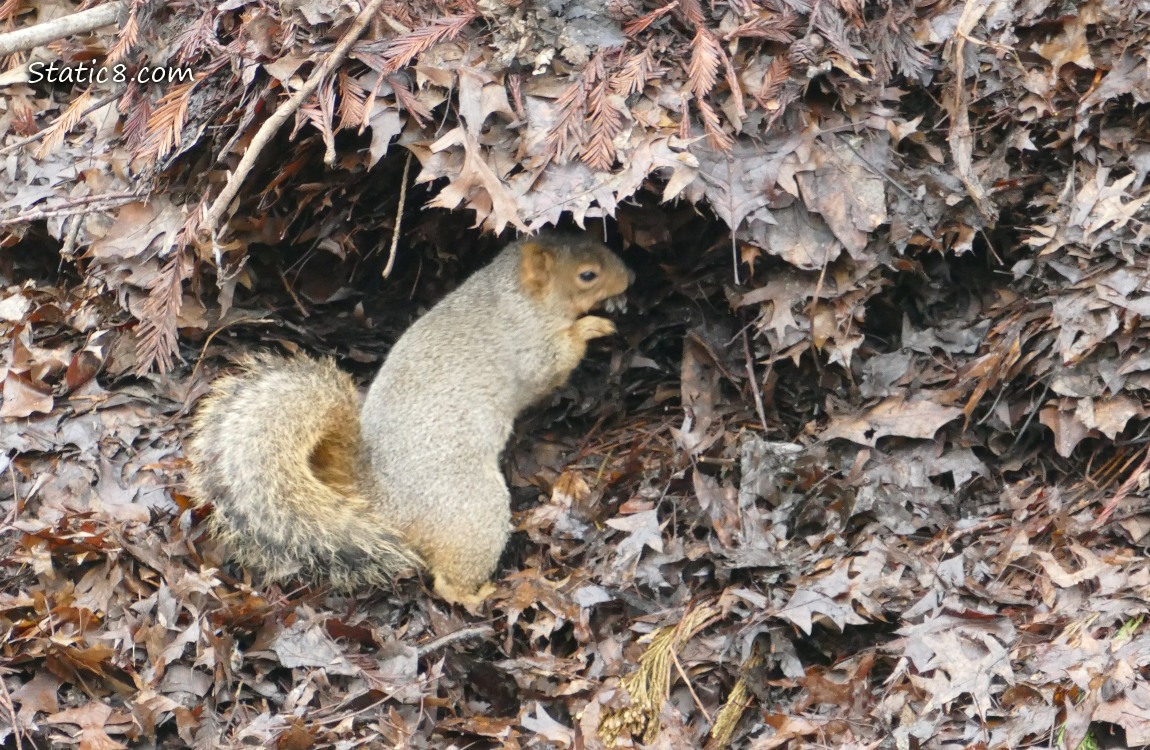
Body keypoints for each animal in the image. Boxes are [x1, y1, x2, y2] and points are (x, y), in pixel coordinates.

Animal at [192, 234, 634, 607]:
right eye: (587, 275)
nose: (630, 277)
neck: (517, 294)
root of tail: (381, 502)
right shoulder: (530, 346)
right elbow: (554, 364)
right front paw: (593, 326)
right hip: (473, 511)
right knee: (449, 579)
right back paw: (477, 594)